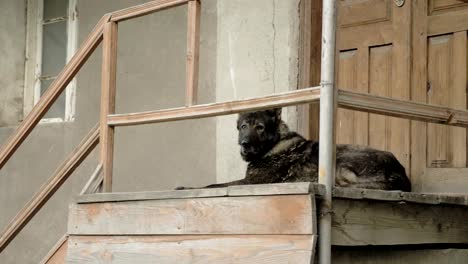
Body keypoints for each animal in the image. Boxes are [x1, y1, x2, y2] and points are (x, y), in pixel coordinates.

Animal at [177, 108, 412, 192]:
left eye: (260, 127)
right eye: (243, 126)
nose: (244, 143)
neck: (273, 144)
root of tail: (401, 173)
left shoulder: (251, 182)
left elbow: (215, 184)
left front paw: (187, 188)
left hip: (339, 158)